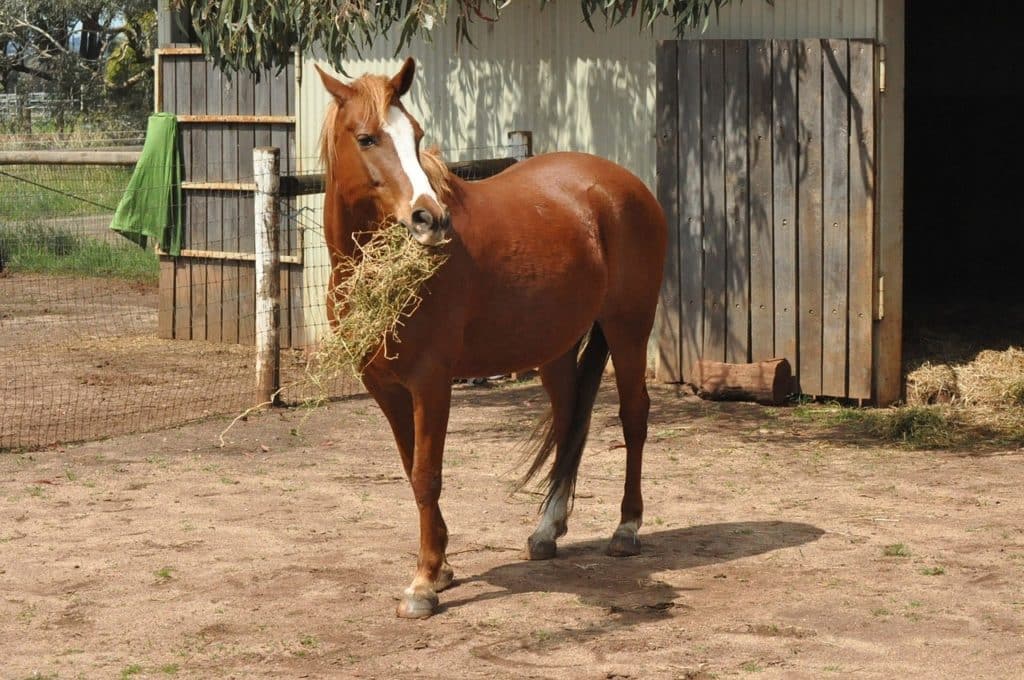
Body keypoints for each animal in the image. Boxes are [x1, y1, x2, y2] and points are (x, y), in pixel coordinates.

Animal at [317, 61, 671, 618]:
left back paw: (626, 528)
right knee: (570, 423)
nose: (429, 218)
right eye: (366, 137)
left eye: (416, 135)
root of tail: (626, 185)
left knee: (633, 417)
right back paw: (547, 530)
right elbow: (411, 468)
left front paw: (423, 583)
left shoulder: (431, 382)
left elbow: (427, 475)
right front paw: (441, 567)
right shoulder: (384, 387)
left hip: (629, 328)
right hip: (555, 348)